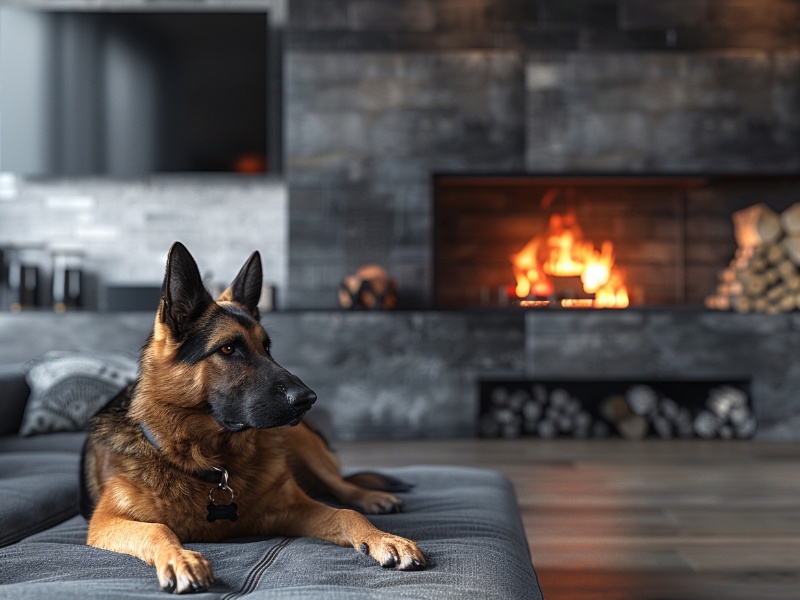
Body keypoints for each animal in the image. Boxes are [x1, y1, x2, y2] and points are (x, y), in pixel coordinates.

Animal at [83, 241, 424, 592]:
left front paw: (384, 538)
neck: (212, 465)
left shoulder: (294, 509)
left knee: (341, 485)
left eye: (267, 348)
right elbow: (157, 528)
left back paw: (372, 497)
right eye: (228, 349)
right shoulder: (107, 522)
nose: (309, 399)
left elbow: (346, 513)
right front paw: (181, 559)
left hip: (302, 442)